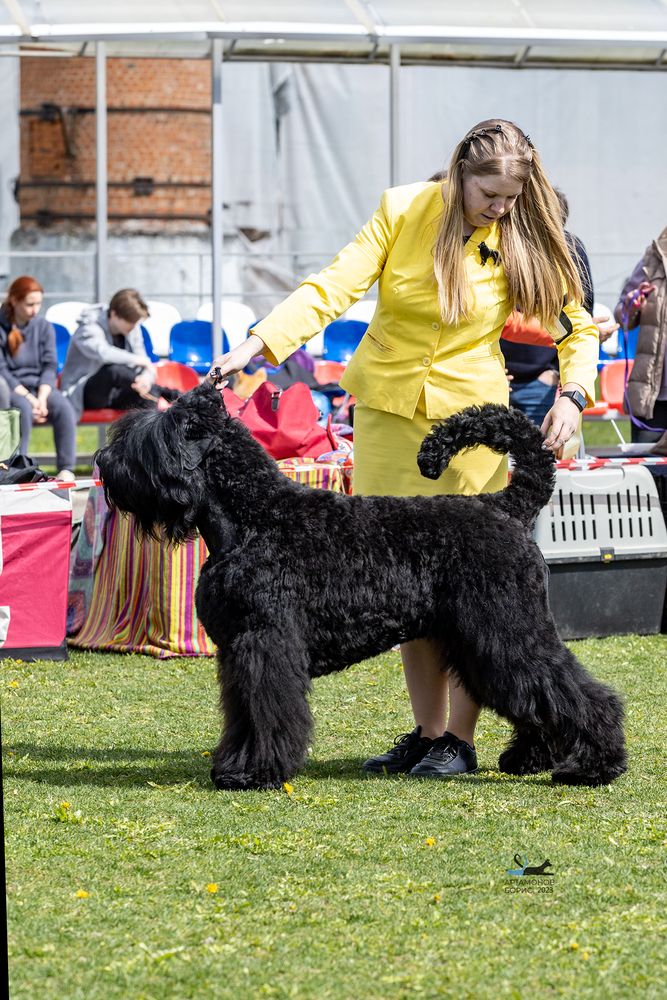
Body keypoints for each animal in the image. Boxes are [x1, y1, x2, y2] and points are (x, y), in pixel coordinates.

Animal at [95, 380, 628, 788]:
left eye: (151, 437)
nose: (102, 462)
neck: (255, 516)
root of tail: (503, 506)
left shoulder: (264, 642)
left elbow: (266, 712)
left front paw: (255, 773)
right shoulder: (237, 651)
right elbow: (242, 714)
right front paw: (234, 767)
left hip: (507, 631)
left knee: (575, 691)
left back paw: (593, 766)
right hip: (478, 640)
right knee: (530, 692)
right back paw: (528, 758)